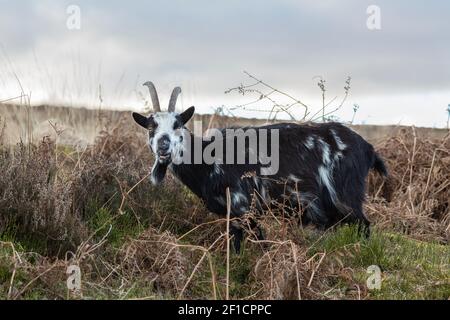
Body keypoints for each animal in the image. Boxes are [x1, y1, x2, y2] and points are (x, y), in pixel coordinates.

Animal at [132, 82, 388, 252]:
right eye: (151, 127)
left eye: (178, 124)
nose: (164, 146)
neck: (208, 158)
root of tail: (368, 148)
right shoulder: (233, 216)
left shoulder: (245, 207)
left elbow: (260, 243)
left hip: (346, 197)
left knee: (365, 226)